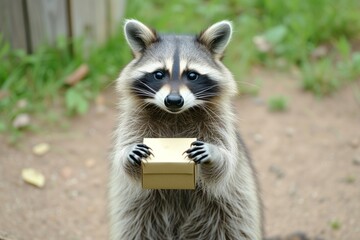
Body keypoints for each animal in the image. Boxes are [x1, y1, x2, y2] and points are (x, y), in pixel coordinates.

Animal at [108, 19, 262, 239]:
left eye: (192, 75)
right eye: (159, 74)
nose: (173, 100)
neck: (175, 114)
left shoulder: (219, 121)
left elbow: (225, 165)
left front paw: (215, 153)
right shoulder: (133, 120)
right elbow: (126, 164)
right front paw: (128, 153)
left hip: (232, 211)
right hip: (138, 214)